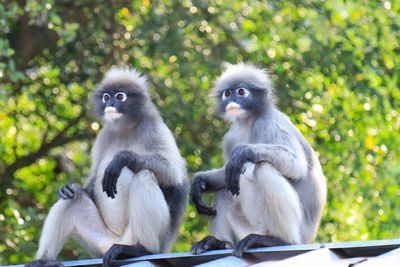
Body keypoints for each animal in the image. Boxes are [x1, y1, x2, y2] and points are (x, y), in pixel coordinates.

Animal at [26, 68, 189, 267]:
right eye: (106, 96)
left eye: (120, 96)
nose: (110, 103)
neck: (126, 128)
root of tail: (118, 239)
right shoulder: (103, 136)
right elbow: (89, 181)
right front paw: (66, 188)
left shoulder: (155, 127)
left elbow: (173, 173)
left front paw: (120, 159)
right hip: (101, 242)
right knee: (74, 197)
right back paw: (42, 260)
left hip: (148, 236)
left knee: (144, 175)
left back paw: (141, 249)